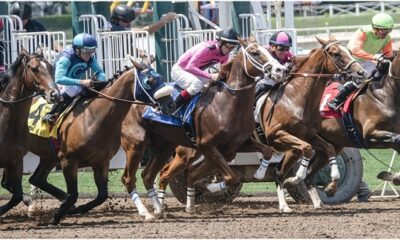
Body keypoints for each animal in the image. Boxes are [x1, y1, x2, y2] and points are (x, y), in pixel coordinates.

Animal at [26, 60, 173, 225]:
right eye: (149, 81)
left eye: (161, 77)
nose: (171, 104)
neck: (94, 118)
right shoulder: (68, 160)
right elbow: (73, 194)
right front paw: (56, 217)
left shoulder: (101, 162)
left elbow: (101, 196)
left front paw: (76, 209)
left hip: (49, 156)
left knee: (36, 178)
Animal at [120, 40, 286, 219]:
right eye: (255, 53)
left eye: (269, 51)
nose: (280, 70)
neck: (227, 103)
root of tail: (132, 101)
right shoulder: (207, 146)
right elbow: (231, 177)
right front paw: (212, 188)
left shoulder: (235, 146)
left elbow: (267, 151)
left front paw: (259, 174)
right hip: (136, 146)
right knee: (130, 178)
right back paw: (148, 211)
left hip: (163, 148)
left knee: (149, 175)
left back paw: (161, 208)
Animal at [155, 35, 366, 212]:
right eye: (337, 54)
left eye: (349, 50)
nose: (361, 72)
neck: (296, 98)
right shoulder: (277, 135)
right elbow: (304, 152)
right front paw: (296, 180)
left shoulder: (309, 136)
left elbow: (325, 149)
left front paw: (330, 184)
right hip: (190, 152)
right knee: (172, 172)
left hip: (209, 153)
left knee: (192, 174)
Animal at [306, 50, 400, 195]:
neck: (385, 96)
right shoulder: (370, 134)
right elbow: (396, 138)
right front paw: (392, 176)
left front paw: (393, 176)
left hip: (331, 146)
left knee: (310, 172)